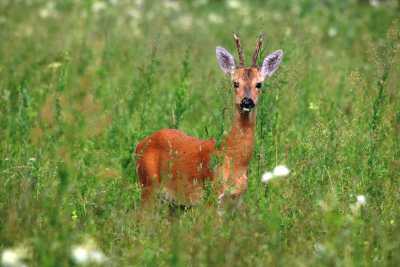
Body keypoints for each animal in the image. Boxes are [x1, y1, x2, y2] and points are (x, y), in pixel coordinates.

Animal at [136, 34, 282, 207]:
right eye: (235, 83)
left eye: (259, 84)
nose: (247, 102)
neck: (233, 160)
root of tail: (140, 144)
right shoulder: (211, 198)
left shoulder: (237, 202)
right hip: (147, 186)